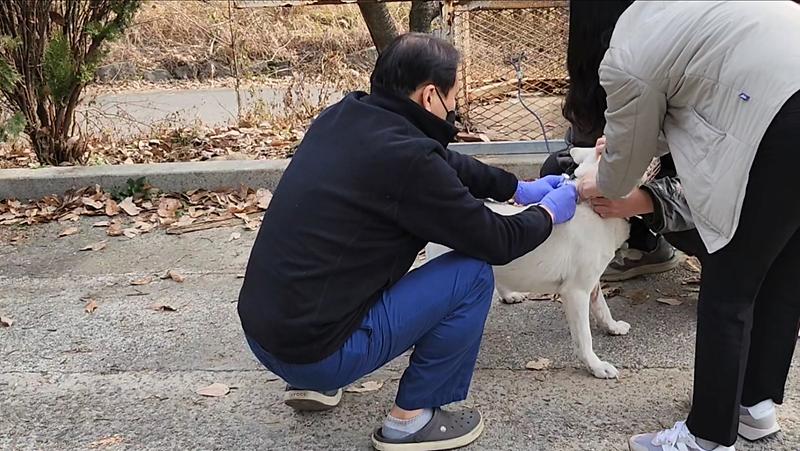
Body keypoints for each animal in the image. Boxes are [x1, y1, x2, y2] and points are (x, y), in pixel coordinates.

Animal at [424, 147, 632, 380]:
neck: (591, 207)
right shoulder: (575, 292)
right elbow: (584, 337)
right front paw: (596, 366)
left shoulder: (591, 283)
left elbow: (602, 307)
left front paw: (612, 327)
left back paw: (509, 295)